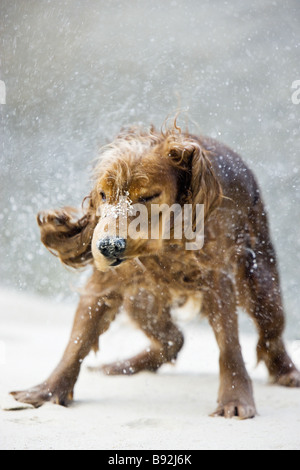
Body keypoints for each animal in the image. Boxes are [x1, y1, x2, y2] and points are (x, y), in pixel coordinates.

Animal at [11, 121, 300, 418]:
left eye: (148, 196)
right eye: (103, 195)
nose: (109, 247)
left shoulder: (217, 279)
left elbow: (229, 343)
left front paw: (234, 399)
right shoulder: (103, 284)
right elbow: (77, 341)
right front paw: (47, 390)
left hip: (261, 281)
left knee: (271, 334)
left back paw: (287, 373)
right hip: (141, 299)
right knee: (174, 339)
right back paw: (122, 366)